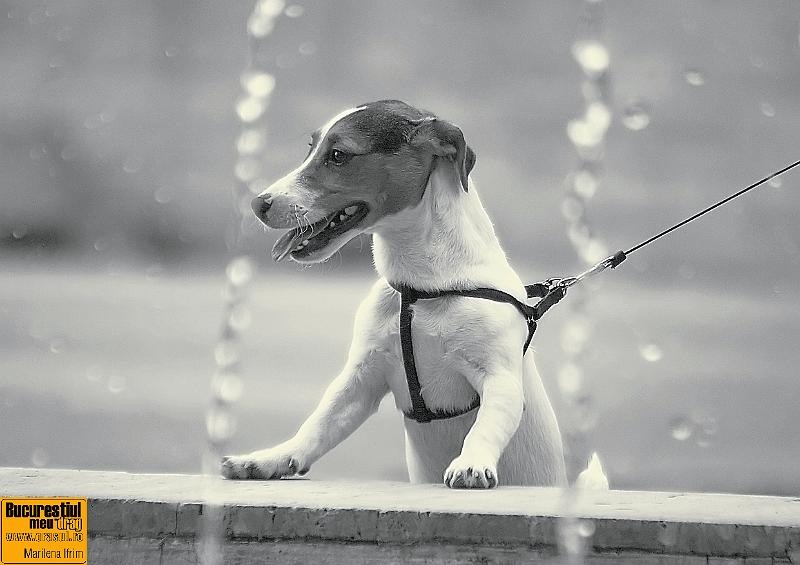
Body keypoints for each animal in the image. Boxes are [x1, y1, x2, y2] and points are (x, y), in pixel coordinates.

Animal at [221, 100, 567, 488]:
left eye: (338, 155)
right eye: (310, 149)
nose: (257, 204)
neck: (421, 290)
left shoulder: (500, 378)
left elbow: (486, 426)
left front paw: (472, 462)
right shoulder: (361, 380)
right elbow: (318, 425)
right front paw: (271, 458)